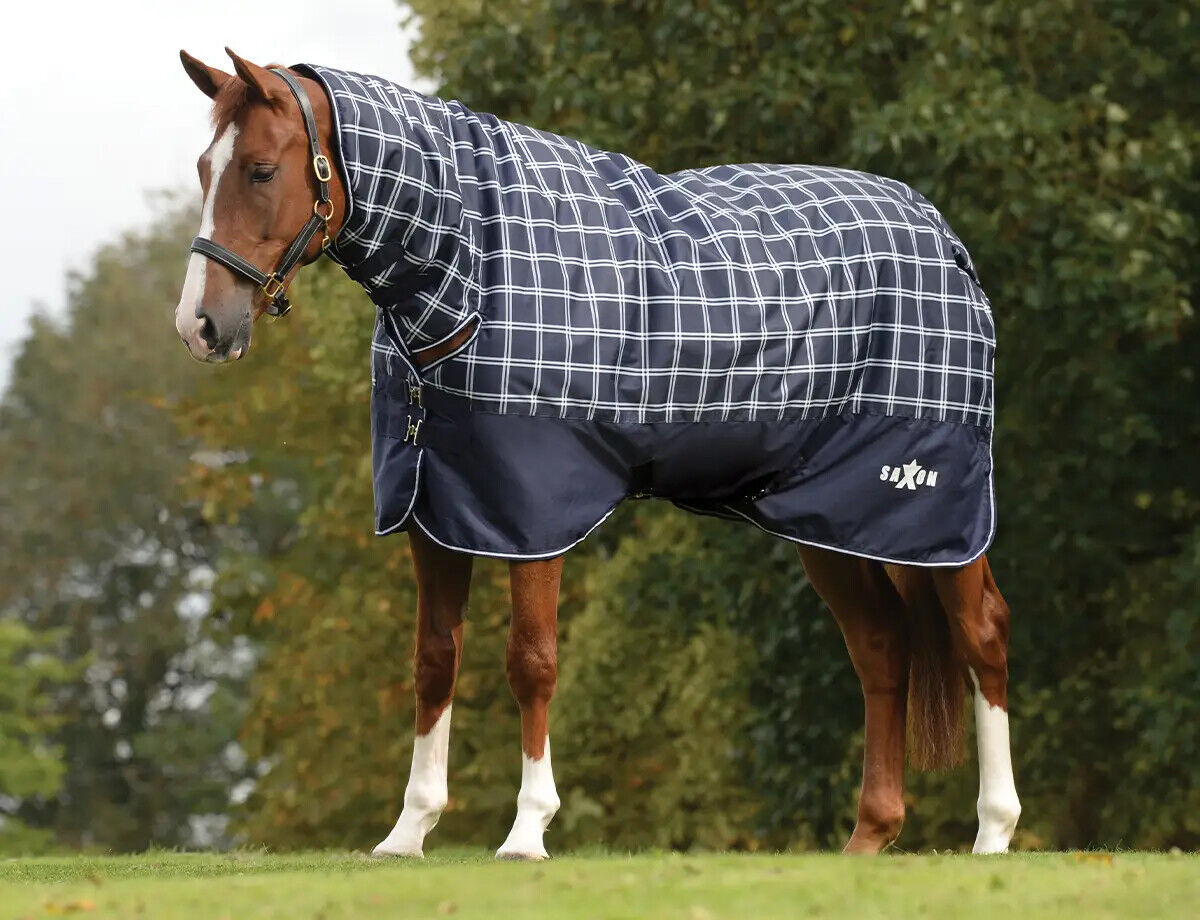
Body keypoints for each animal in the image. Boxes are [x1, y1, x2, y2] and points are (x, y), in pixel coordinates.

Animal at [174, 48, 1021, 859]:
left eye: (260, 169)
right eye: (204, 170)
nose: (200, 325)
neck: (469, 266)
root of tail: (941, 236)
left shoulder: (533, 512)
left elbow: (532, 661)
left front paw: (527, 832)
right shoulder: (433, 509)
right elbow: (433, 662)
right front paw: (407, 833)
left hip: (932, 509)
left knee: (981, 633)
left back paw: (993, 832)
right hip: (830, 520)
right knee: (881, 649)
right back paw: (870, 835)